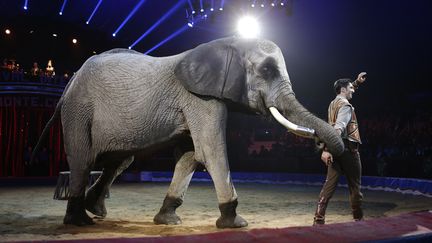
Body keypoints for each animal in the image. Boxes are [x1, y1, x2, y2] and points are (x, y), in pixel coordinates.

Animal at [33, 36, 344, 228]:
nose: (323, 147)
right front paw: (235, 223)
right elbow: (210, 151)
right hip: (78, 110)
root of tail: (71, 79)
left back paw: (96, 210)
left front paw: (167, 221)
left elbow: (190, 156)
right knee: (83, 160)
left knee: (119, 161)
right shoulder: (199, 98)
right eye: (266, 71)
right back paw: (79, 220)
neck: (228, 42)